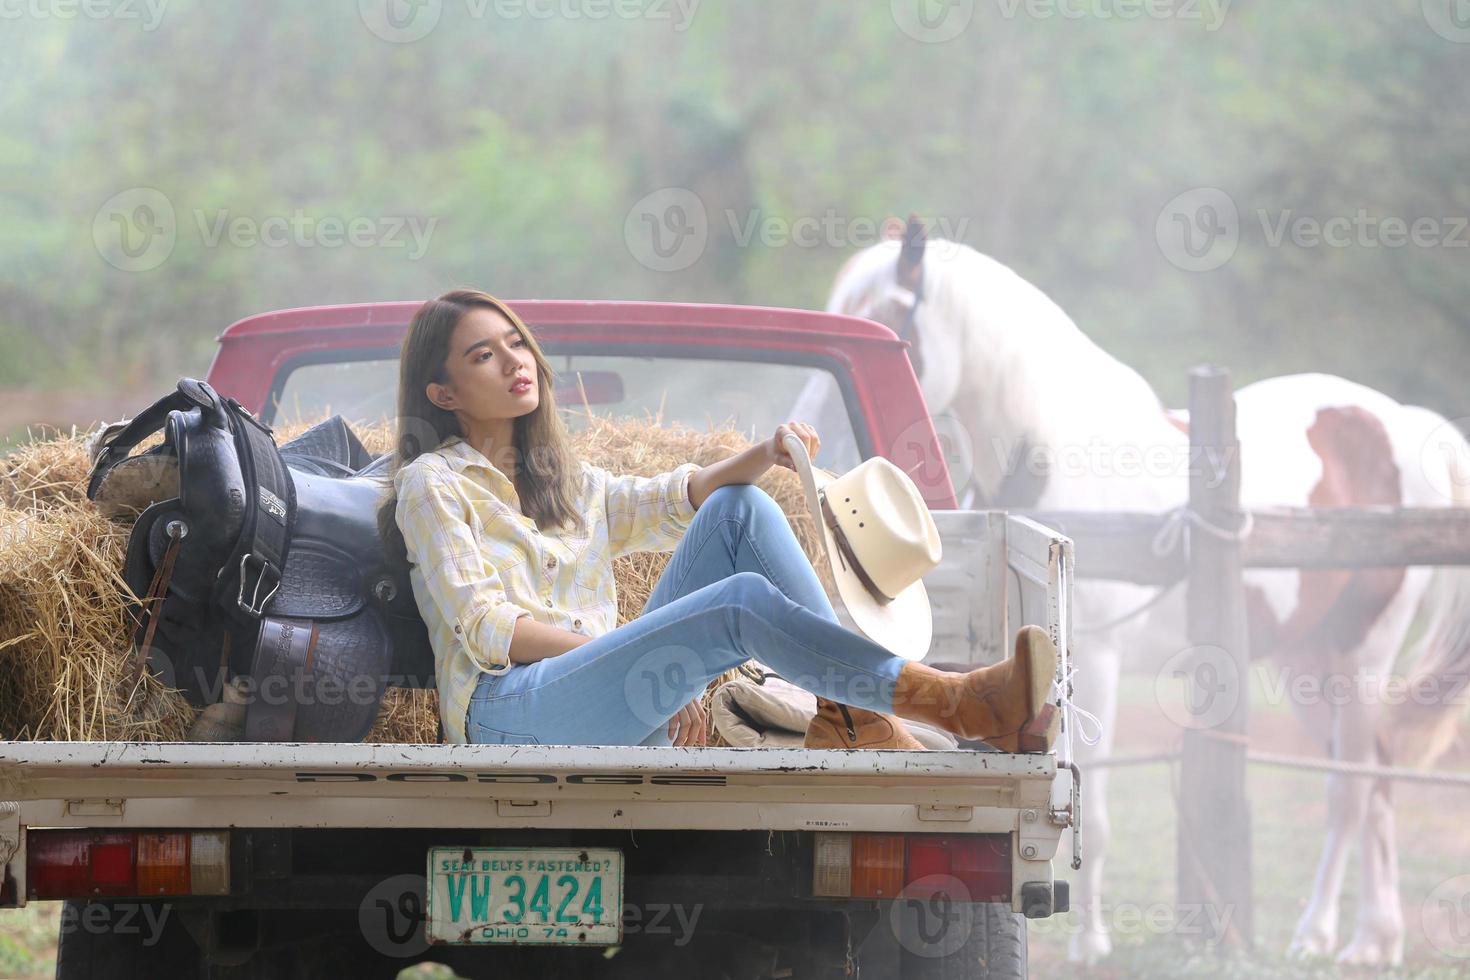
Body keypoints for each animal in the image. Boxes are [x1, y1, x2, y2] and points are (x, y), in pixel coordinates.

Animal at [793, 215, 1470, 963]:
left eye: (892, 321)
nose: (814, 433)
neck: (1050, 449)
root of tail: (1400, 424)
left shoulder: (1100, 661)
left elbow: (1096, 802)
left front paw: (1090, 941)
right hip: (1309, 664)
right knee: (1371, 788)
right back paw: (1361, 936)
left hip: (1362, 655)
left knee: (1355, 791)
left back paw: (1341, 937)